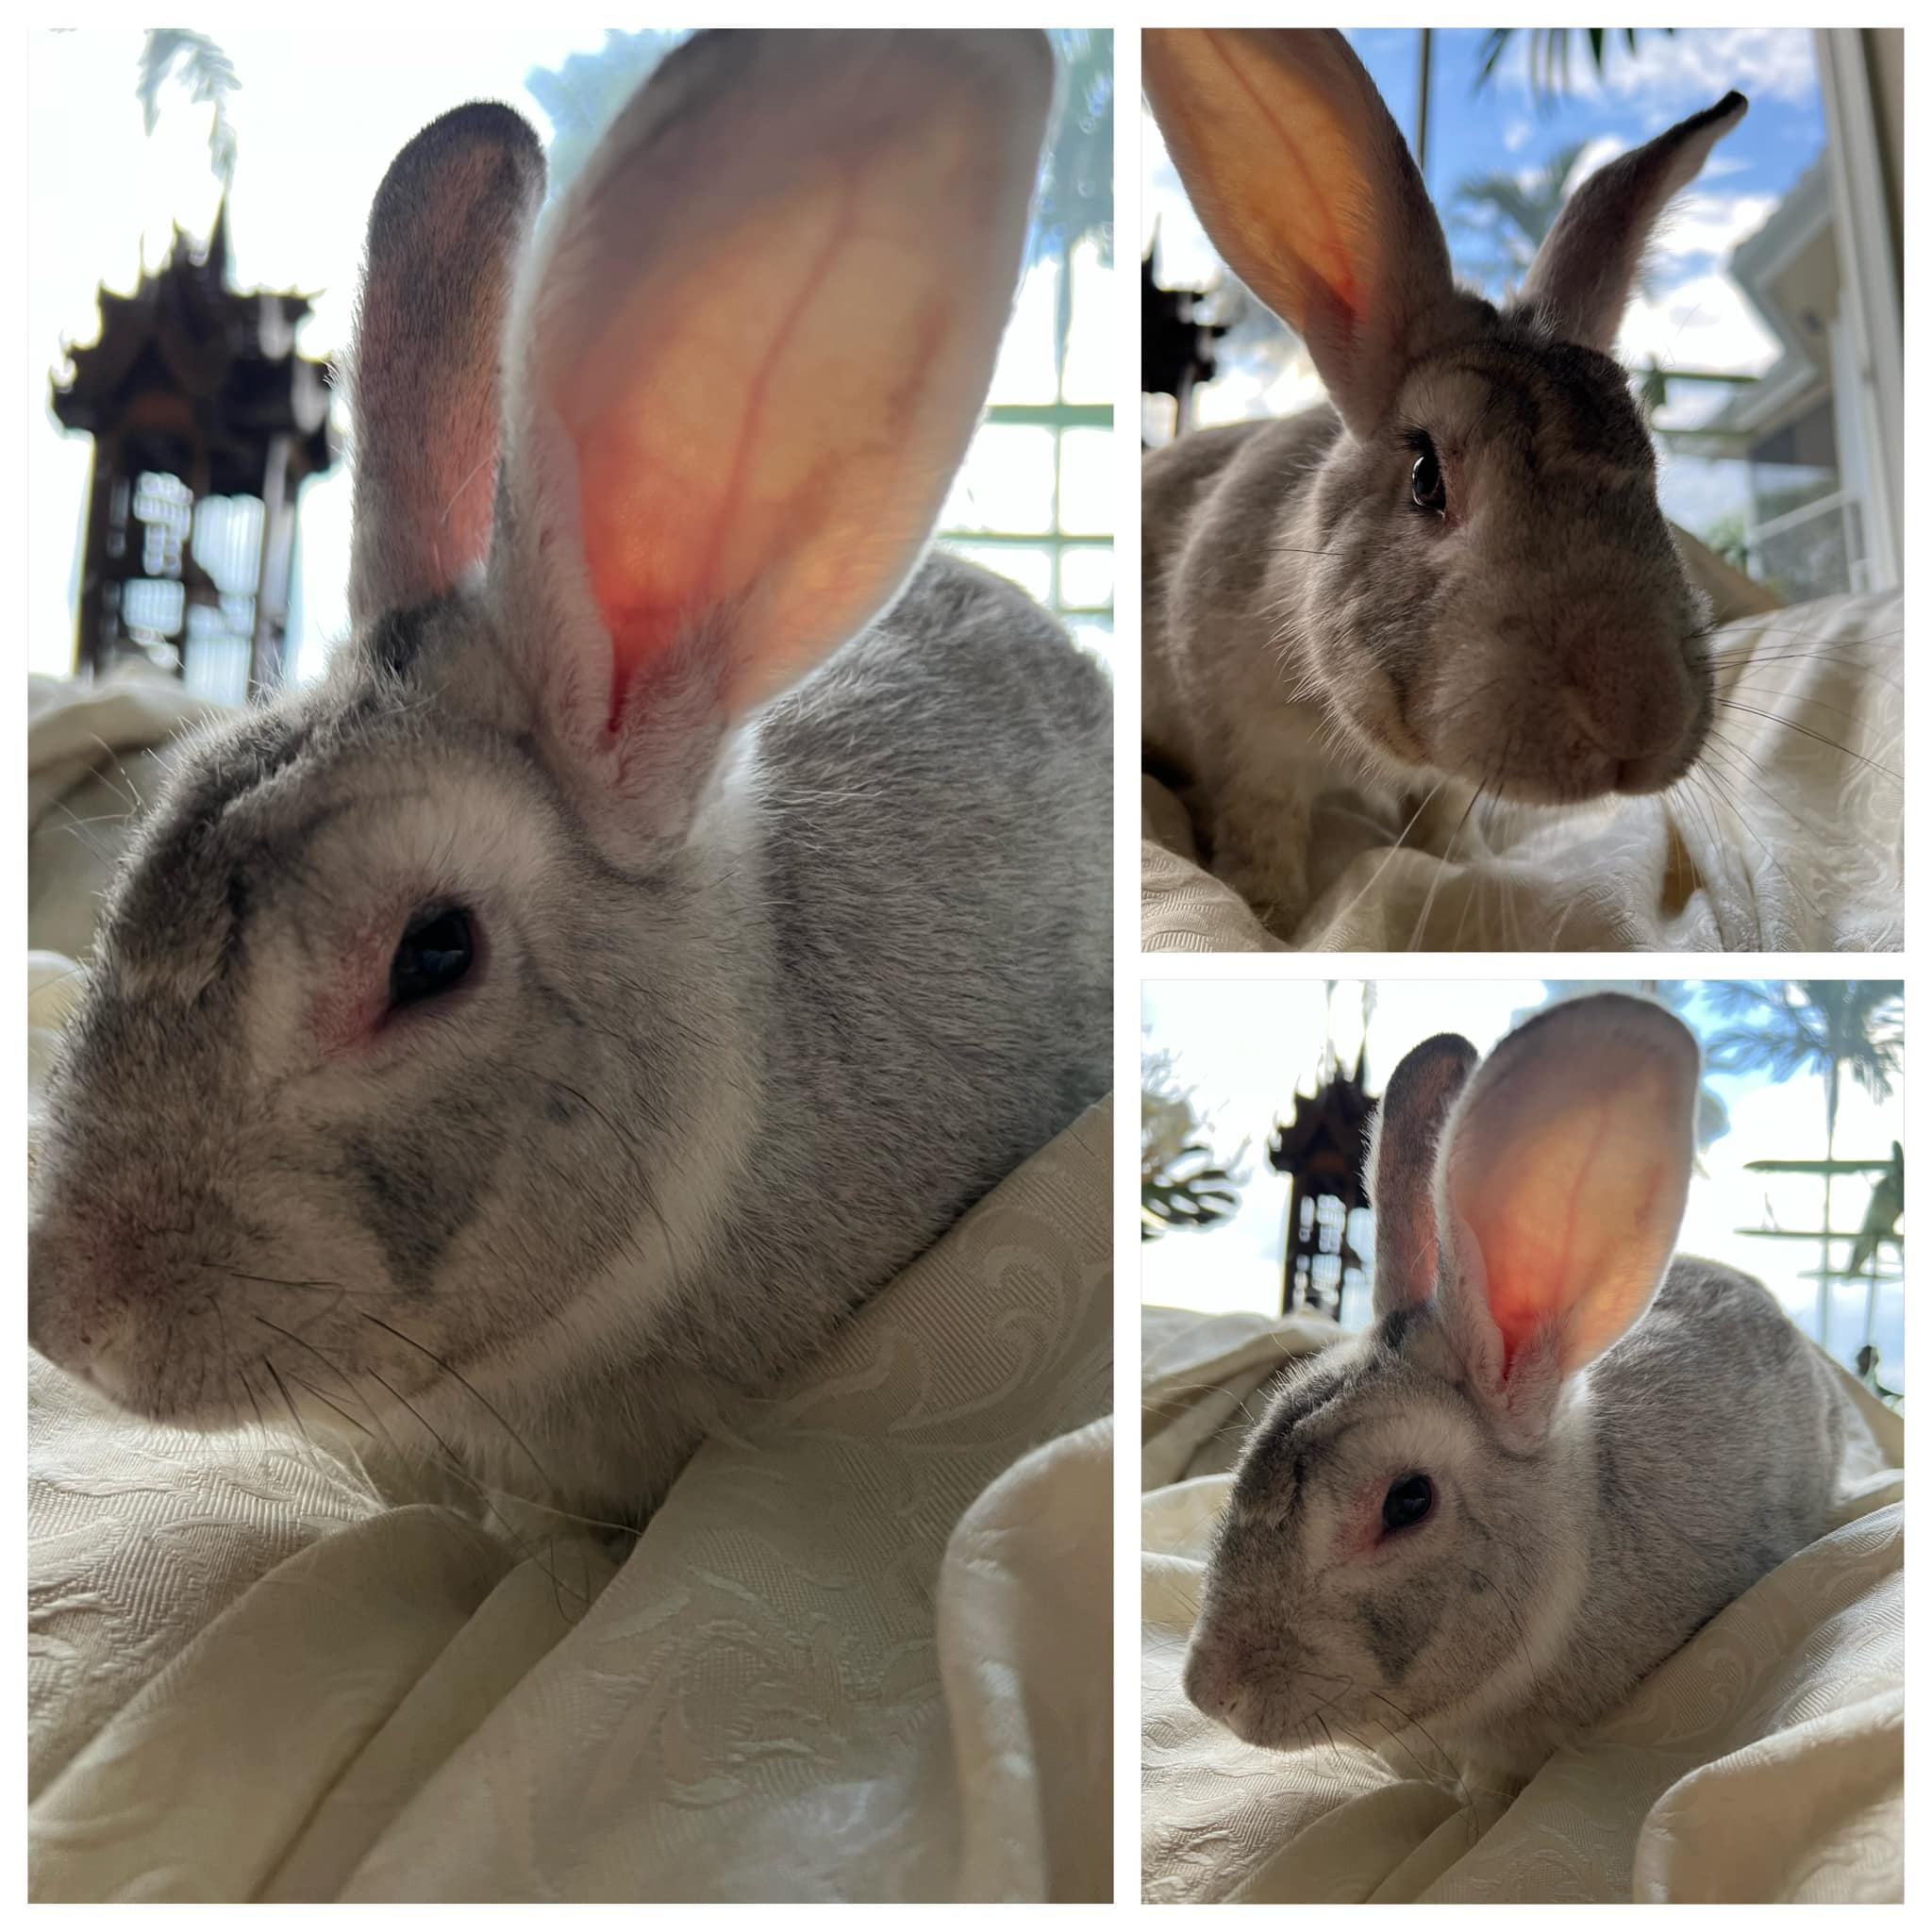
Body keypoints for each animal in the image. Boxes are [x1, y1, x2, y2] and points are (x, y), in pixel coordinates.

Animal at [1142, 29, 1747, 938]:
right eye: (1427, 478)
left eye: (1651, 469)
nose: (1641, 723)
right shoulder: (1244, 745)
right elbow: (1262, 825)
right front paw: (1271, 914)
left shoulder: (1444, 782)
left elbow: (1443, 815)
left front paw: (1463, 864)